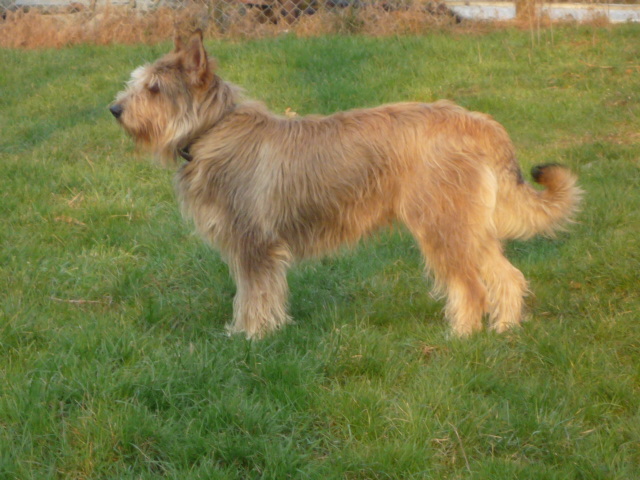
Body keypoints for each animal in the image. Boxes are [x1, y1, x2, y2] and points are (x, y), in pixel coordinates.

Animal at [109, 31, 580, 338]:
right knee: (507, 275)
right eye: (138, 83)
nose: (115, 109)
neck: (212, 130)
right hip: (467, 226)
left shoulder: (253, 244)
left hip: (440, 225)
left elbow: (255, 294)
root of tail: (479, 122)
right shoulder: (250, 247)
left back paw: (462, 336)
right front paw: (247, 331)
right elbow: (251, 294)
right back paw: (504, 328)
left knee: (470, 286)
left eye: (154, 88)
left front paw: (253, 337)